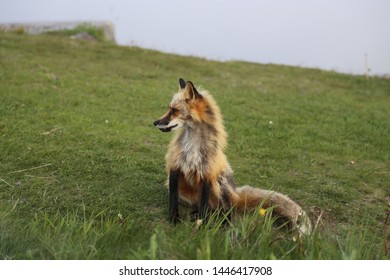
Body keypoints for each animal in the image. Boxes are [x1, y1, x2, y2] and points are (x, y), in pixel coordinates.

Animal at [154, 77, 312, 235]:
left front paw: (202, 225)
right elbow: (173, 202)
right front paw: (173, 220)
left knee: (226, 210)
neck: (193, 146)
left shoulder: (208, 174)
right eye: (169, 108)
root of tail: (235, 193)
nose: (155, 122)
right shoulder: (175, 168)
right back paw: (196, 214)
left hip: (219, 183)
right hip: (180, 189)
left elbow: (204, 207)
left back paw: (221, 221)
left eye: (175, 110)